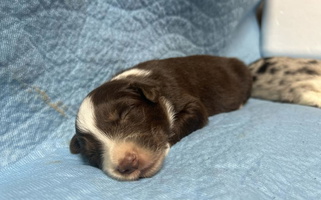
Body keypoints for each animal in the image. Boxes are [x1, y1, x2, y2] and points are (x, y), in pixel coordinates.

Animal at [69, 55, 251, 181]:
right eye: (92, 153)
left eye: (125, 114)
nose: (126, 164)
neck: (141, 79)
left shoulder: (191, 104)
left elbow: (179, 124)